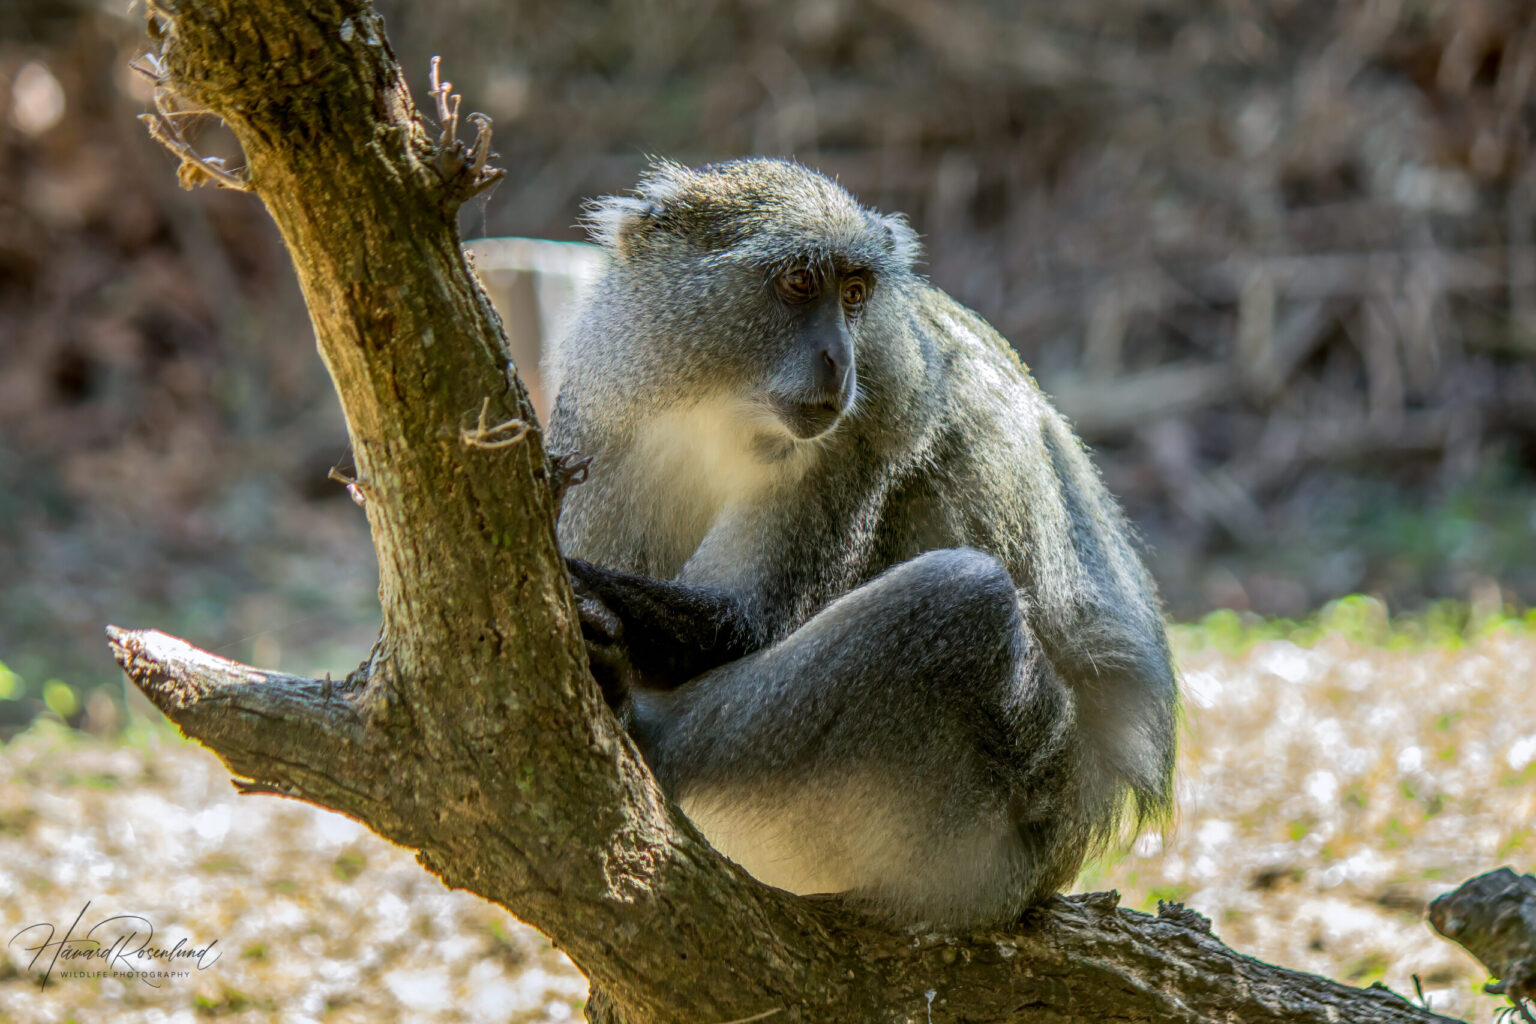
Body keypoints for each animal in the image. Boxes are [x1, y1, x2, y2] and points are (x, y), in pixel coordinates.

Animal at [544, 158, 1178, 928]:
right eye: (797, 283)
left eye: (854, 294)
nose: (838, 359)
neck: (723, 408)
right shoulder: (603, 422)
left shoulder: (866, 431)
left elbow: (745, 624)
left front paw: (580, 587)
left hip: (989, 831)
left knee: (965, 599)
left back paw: (648, 733)